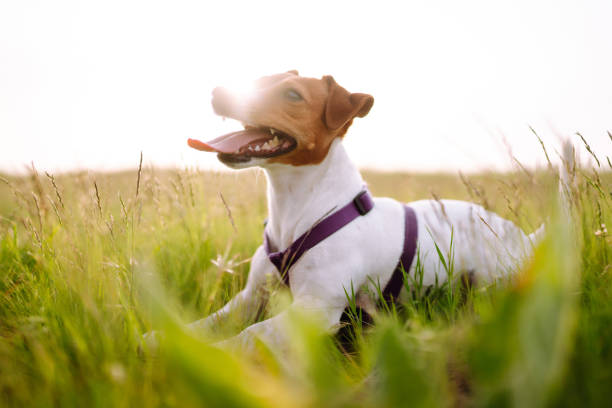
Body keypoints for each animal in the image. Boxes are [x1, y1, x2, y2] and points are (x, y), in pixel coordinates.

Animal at [159, 70, 540, 350]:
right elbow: (204, 323)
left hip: (490, 282)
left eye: (293, 95)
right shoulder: (250, 297)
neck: (296, 206)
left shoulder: (315, 309)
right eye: (261, 79)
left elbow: (248, 336)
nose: (218, 92)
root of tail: (524, 237)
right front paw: (159, 338)